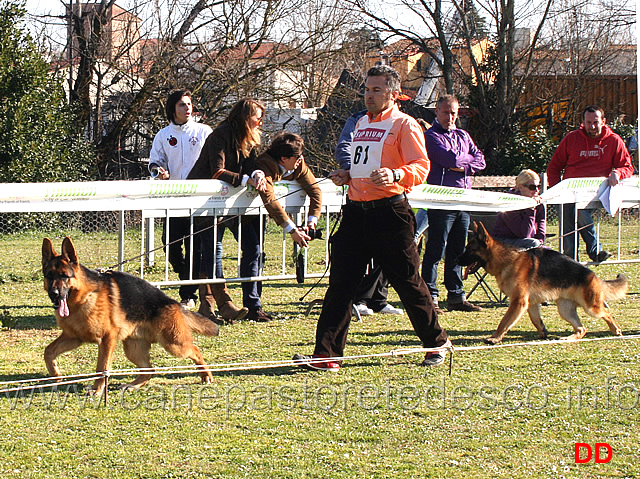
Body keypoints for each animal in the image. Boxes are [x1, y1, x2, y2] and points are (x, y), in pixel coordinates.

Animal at [42, 238, 219, 396]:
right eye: (49, 276)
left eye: (64, 276)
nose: (54, 294)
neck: (83, 297)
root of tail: (173, 303)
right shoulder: (74, 337)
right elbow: (48, 351)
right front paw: (56, 375)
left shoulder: (107, 339)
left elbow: (102, 368)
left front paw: (97, 390)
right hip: (133, 349)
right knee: (149, 369)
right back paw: (133, 385)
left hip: (174, 344)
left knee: (195, 350)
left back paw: (206, 375)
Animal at [458, 221, 628, 344]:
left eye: (470, 250)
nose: (455, 260)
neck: (507, 260)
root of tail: (592, 275)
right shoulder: (531, 304)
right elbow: (536, 321)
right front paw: (543, 333)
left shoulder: (518, 302)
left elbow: (504, 322)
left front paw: (494, 338)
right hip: (565, 310)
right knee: (582, 329)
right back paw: (567, 338)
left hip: (591, 308)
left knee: (606, 313)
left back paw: (616, 330)